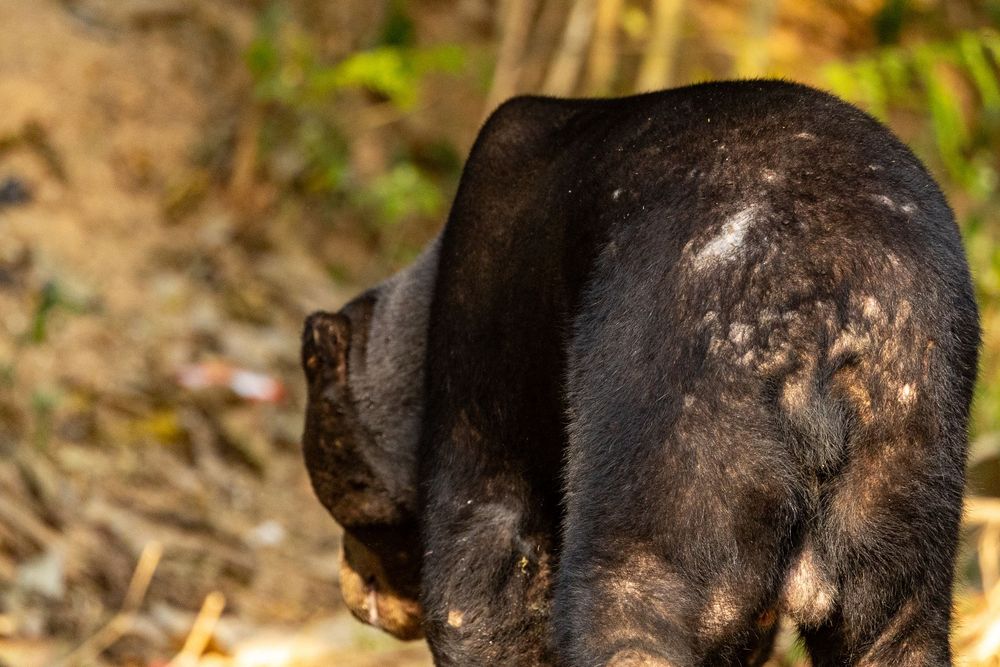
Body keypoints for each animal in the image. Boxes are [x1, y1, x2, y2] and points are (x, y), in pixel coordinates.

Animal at [300, 80, 980, 666]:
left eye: (352, 517)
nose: (353, 595)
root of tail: (830, 314)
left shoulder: (483, 350)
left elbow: (478, 572)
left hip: (678, 407)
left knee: (629, 603)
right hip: (914, 438)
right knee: (894, 632)